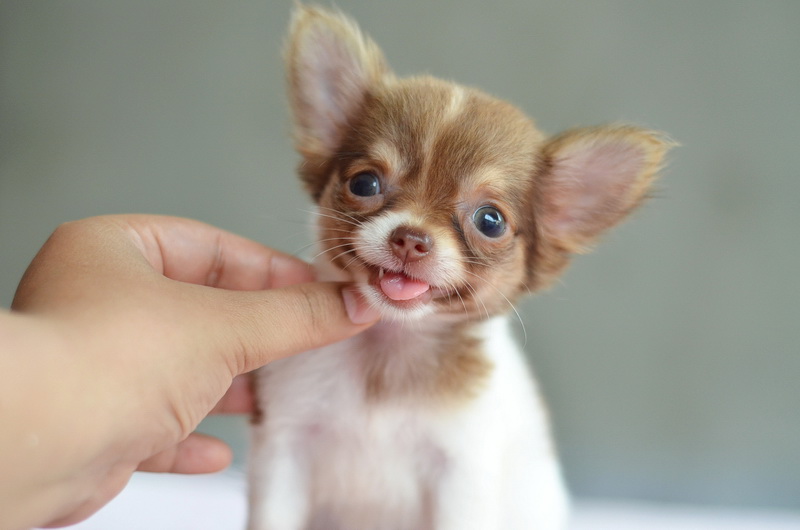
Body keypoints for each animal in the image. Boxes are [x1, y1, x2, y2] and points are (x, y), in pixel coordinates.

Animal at [248, 6, 670, 529]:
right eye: (365, 183)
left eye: (490, 221)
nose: (411, 238)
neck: (390, 348)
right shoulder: (283, 446)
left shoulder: (461, 474)